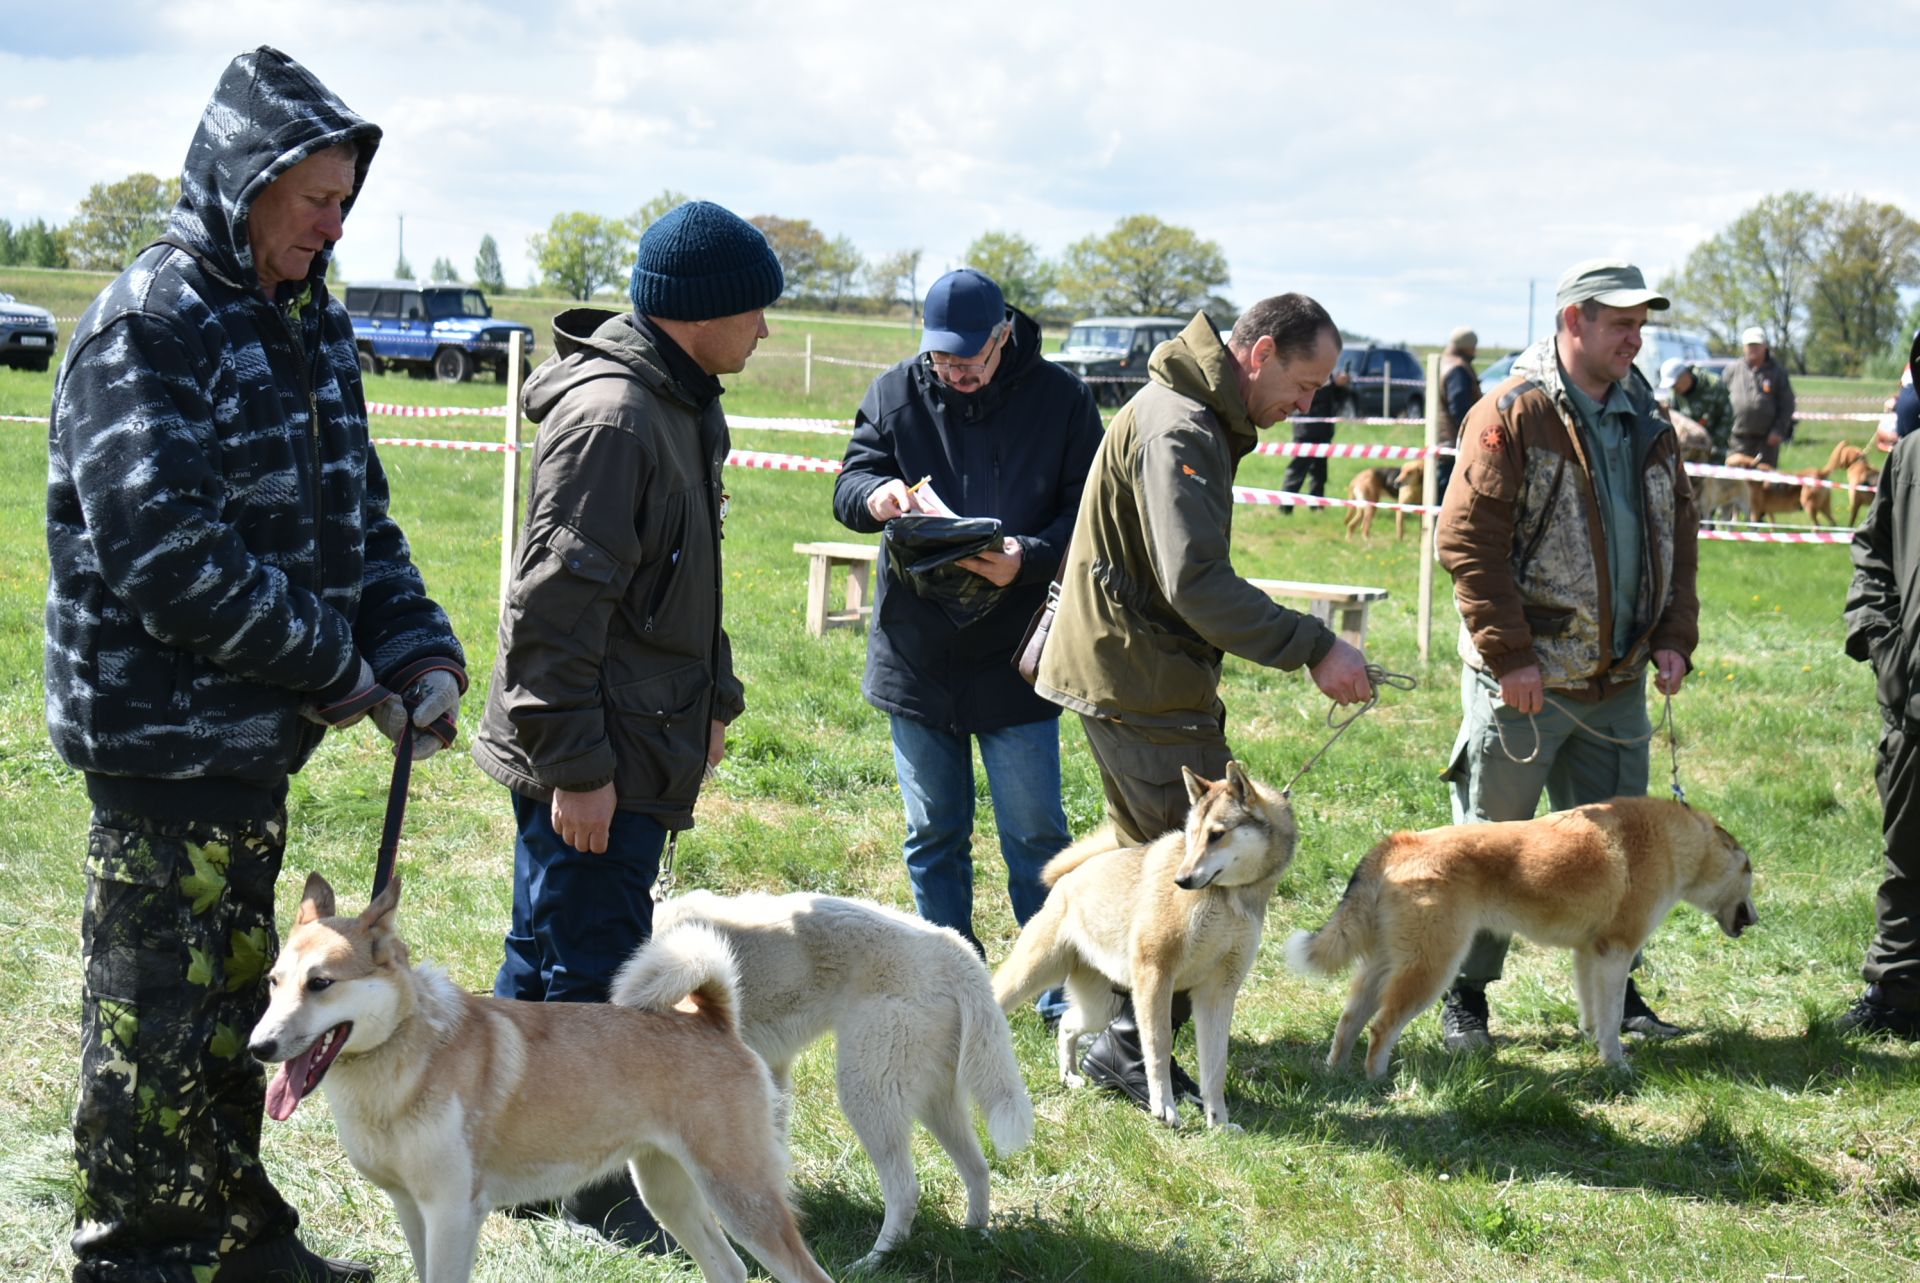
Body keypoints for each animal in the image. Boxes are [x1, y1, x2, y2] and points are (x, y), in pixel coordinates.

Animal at [245, 871, 833, 1283]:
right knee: (727, 1268)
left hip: (741, 1196)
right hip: (670, 1193)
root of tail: (711, 1018)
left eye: (320, 983)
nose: (257, 1048)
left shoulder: (453, 1213)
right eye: (273, 981)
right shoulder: (411, 1209)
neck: (407, 1053)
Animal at [614, 891, 1036, 1275]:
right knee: (978, 1168)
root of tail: (955, 949)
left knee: (905, 1190)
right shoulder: (770, 1077)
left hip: (865, 1094)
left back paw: (874, 1261)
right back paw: (974, 1237)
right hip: (935, 1102)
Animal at [990, 768, 1290, 1129]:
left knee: (1068, 1024)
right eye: (1191, 834)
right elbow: (1157, 1047)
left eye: (1217, 835)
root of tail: (1071, 876)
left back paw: (1069, 1075)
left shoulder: (1219, 991)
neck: (1228, 897)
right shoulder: (1156, 974)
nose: (1182, 880)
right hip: (1033, 972)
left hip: (1100, 1006)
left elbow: (1215, 1066)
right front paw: (1165, 1107)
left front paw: (1218, 1122)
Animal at [1290, 791, 1758, 1083]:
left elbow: (1592, 1014)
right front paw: (1616, 1066)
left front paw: (1592, 1051)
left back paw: (1337, 1075)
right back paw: (1378, 1081)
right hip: (1432, 968)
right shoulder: (1616, 952)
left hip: (1385, 964)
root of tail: (1398, 844)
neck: (1671, 841)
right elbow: (1610, 1020)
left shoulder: (1589, 953)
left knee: (1349, 1022)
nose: (1754, 919)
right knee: (1381, 1028)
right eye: (1749, 869)